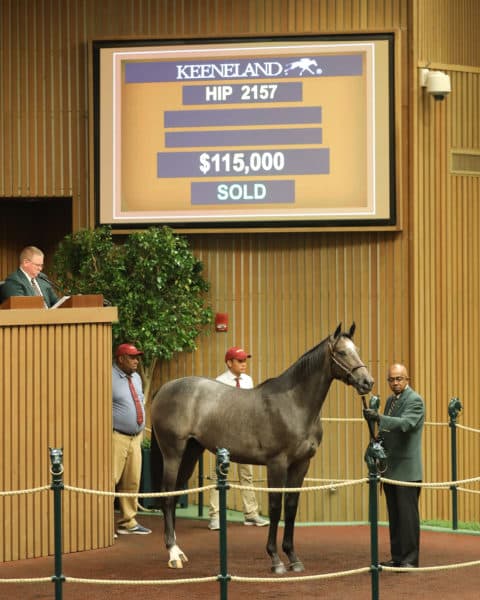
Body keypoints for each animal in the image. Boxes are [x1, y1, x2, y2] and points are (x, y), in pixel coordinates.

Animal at [152, 324, 374, 572]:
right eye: (342, 352)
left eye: (357, 350)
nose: (367, 382)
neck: (294, 403)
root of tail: (165, 388)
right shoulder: (277, 463)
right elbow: (276, 506)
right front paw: (275, 559)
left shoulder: (301, 464)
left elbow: (291, 506)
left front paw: (293, 557)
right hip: (173, 453)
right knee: (166, 495)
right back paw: (173, 552)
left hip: (191, 452)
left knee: (174, 494)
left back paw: (178, 550)